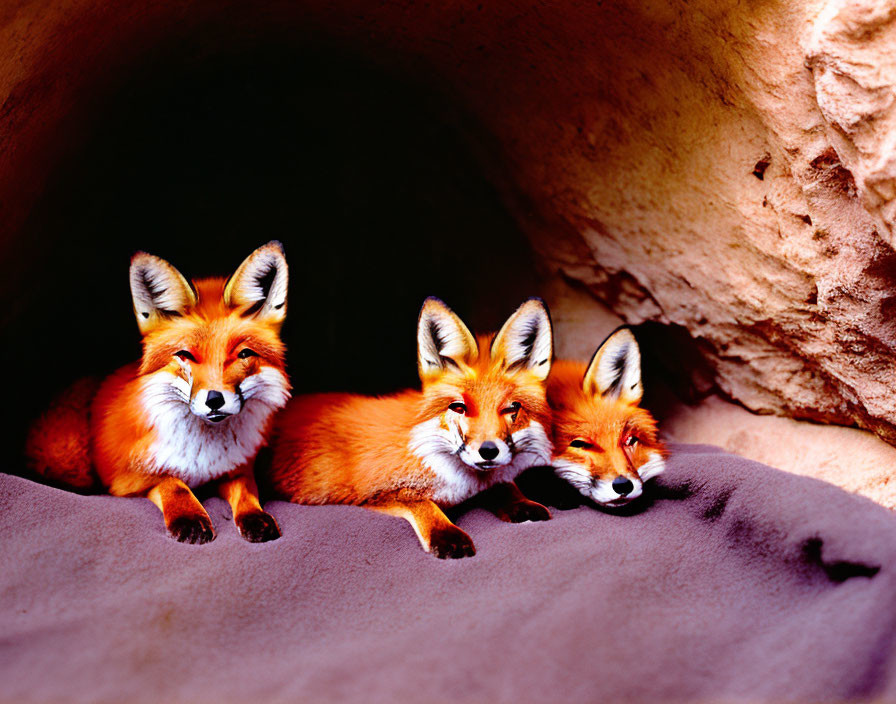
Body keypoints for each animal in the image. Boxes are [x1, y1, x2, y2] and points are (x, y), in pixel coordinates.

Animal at [26, 242, 290, 544]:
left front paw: (255, 517)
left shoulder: (235, 469)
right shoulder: (128, 479)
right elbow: (173, 484)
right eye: (185, 355)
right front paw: (189, 519)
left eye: (244, 354)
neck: (204, 456)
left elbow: (246, 490)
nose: (214, 400)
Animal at [268, 298, 552, 560]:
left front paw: (522, 503)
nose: (489, 451)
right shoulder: (374, 494)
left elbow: (503, 485)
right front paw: (448, 536)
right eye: (458, 407)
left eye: (512, 408)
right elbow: (423, 504)